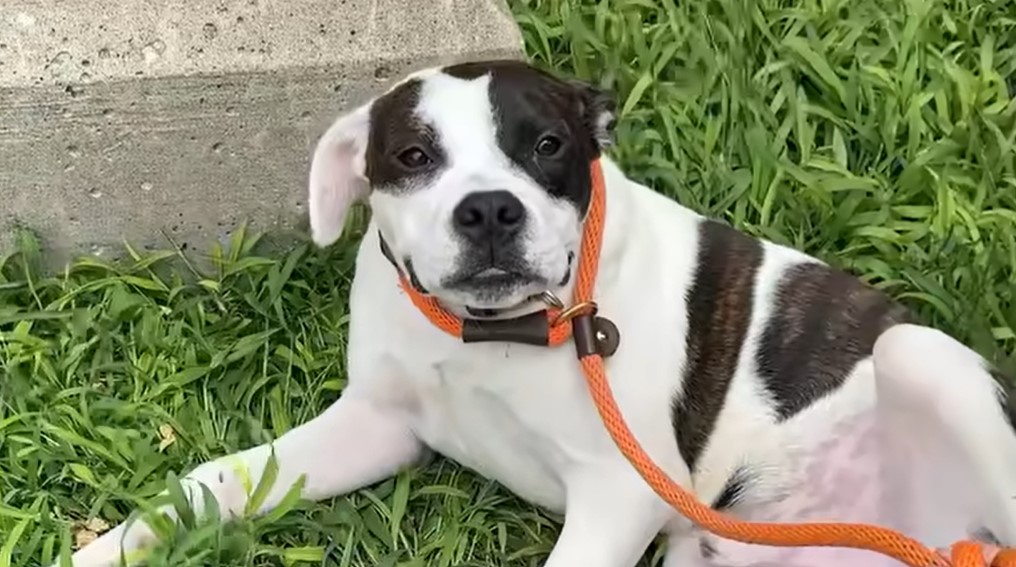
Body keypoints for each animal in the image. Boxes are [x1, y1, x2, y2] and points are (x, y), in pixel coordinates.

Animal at [67, 58, 1016, 567]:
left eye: (550, 145)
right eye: (412, 156)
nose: (489, 209)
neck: (491, 335)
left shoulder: (619, 494)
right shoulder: (379, 423)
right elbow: (219, 477)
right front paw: (121, 541)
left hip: (921, 355)